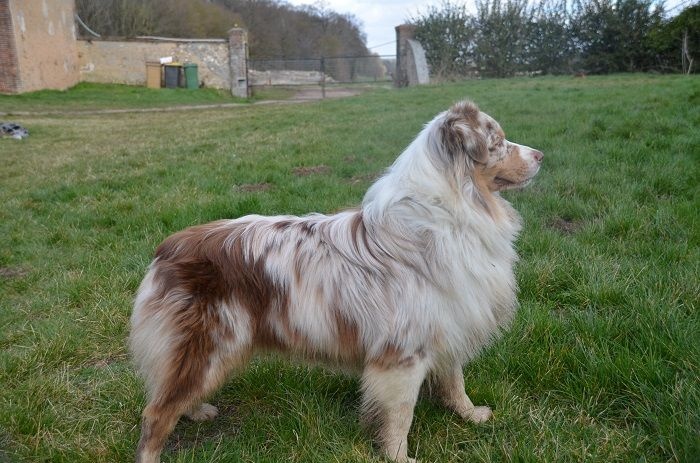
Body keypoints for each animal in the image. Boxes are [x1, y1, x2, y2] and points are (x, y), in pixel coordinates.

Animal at [133, 99, 548, 462]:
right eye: (497, 142)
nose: (541, 155)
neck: (449, 211)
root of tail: (168, 248)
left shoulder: (447, 322)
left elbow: (454, 380)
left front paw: (470, 415)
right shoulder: (403, 352)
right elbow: (400, 415)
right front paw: (399, 458)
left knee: (170, 393)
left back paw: (196, 410)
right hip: (209, 344)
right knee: (156, 412)